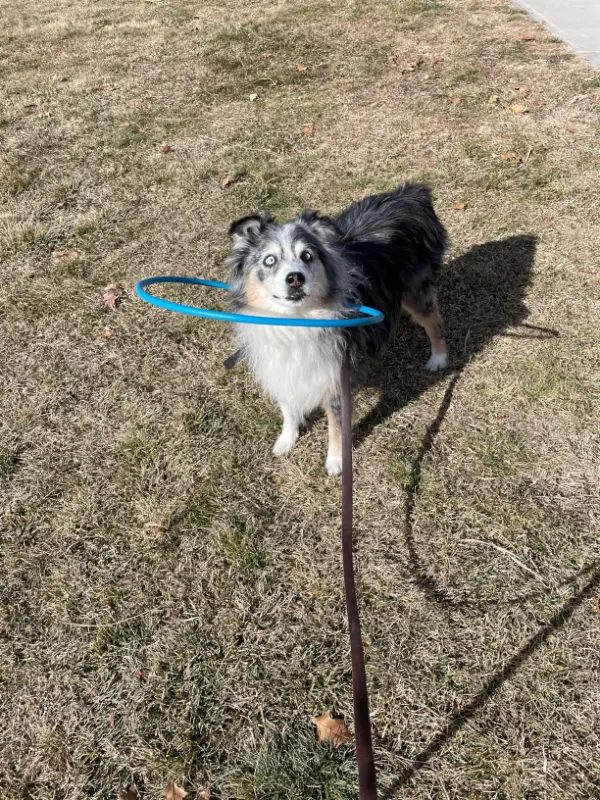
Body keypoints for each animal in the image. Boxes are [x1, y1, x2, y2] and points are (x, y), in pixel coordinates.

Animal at [227, 184, 448, 476]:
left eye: (307, 256)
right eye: (270, 260)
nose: (295, 278)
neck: (297, 320)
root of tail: (411, 194)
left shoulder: (337, 374)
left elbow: (336, 424)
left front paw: (336, 461)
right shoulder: (280, 364)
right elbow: (287, 406)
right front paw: (287, 439)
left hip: (415, 290)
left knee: (435, 321)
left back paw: (439, 358)